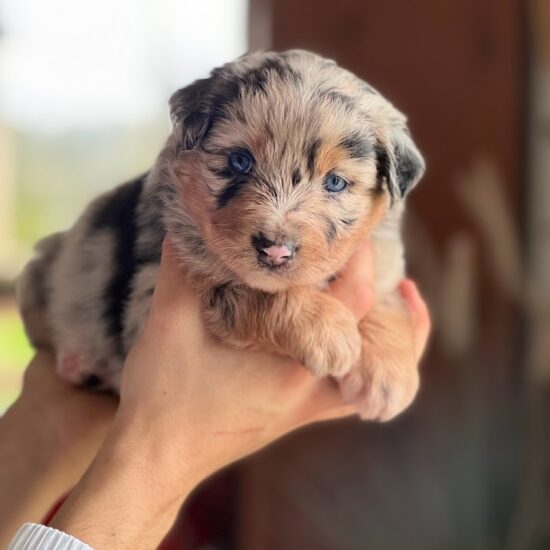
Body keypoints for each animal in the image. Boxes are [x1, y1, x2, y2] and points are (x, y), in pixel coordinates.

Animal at [14, 51, 426, 422]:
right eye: (240, 162)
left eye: (335, 182)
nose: (275, 251)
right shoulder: (147, 296)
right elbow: (247, 290)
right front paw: (327, 329)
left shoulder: (380, 254)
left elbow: (387, 296)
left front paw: (388, 374)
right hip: (41, 273)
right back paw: (78, 363)